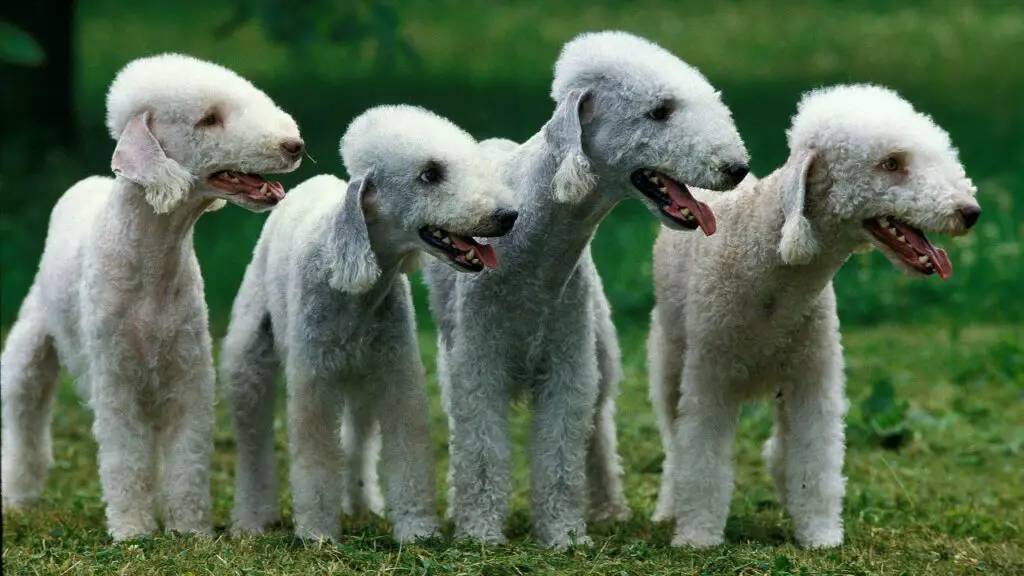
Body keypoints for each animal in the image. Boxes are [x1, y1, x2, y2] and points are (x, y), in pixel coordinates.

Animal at [0, 53, 303, 537]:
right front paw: (132, 530)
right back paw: (18, 498)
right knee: (25, 414)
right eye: (208, 119)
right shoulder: (116, 381)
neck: (152, 257)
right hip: (30, 345)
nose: (294, 145)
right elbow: (126, 459)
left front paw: (191, 531)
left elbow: (187, 460)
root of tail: (83, 185)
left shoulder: (188, 377)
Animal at [220, 104, 516, 541]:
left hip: (361, 381)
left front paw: (417, 530)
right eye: (430, 174)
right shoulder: (314, 382)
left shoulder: (396, 375)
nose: (507, 216)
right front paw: (318, 533)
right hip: (250, 357)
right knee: (253, 442)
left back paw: (361, 505)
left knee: (357, 440)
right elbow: (315, 455)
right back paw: (252, 518)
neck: (356, 288)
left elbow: (408, 448)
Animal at [419, 31, 749, 545]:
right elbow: (483, 453)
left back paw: (609, 509)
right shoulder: (479, 366)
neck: (532, 242)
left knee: (598, 428)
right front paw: (480, 532)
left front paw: (565, 535)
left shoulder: (568, 366)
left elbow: (561, 452)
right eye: (659, 111)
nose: (737, 167)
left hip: (600, 345)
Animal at [647, 84, 983, 545]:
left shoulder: (813, 378)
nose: (970, 212)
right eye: (891, 163)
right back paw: (667, 509)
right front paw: (697, 536)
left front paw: (821, 535)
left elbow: (815, 459)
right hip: (669, 354)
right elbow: (701, 459)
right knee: (673, 442)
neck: (771, 265)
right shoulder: (710, 378)